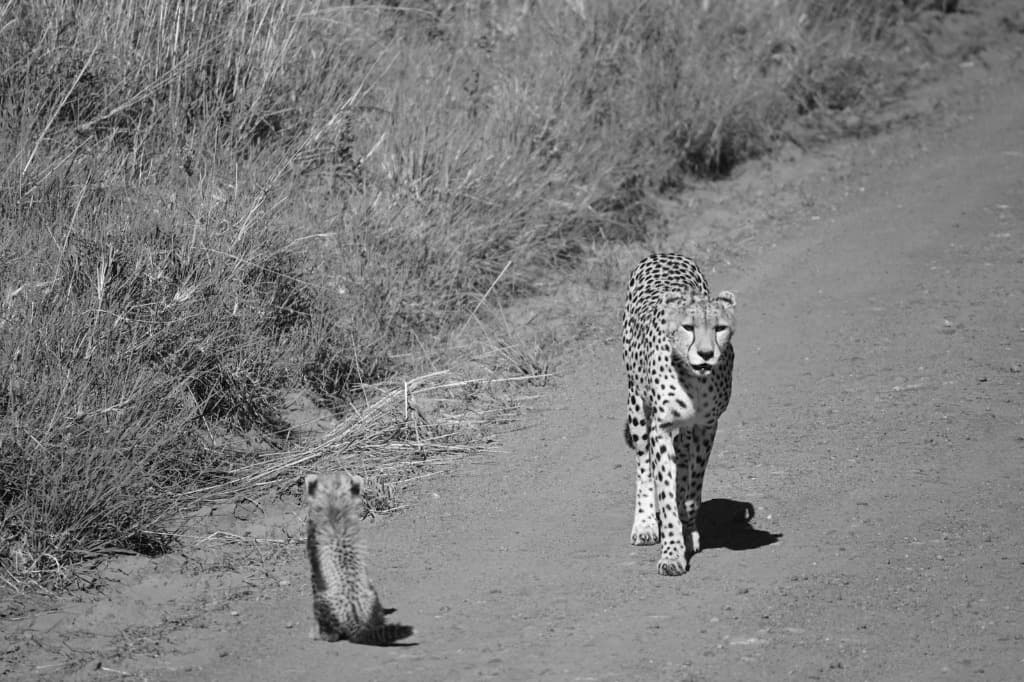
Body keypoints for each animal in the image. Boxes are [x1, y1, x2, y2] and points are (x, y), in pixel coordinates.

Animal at [304, 471, 413, 644]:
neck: (334, 505)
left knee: (332, 635)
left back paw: (318, 634)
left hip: (324, 604)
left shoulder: (315, 568)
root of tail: (355, 622)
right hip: (373, 598)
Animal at [621, 253, 736, 576]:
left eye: (719, 328)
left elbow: (691, 491)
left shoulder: (707, 425)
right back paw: (645, 524)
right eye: (688, 327)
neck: (694, 378)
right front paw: (672, 553)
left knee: (683, 462)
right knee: (643, 467)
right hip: (637, 407)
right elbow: (665, 494)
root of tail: (664, 254)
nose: (706, 354)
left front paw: (688, 532)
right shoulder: (660, 428)